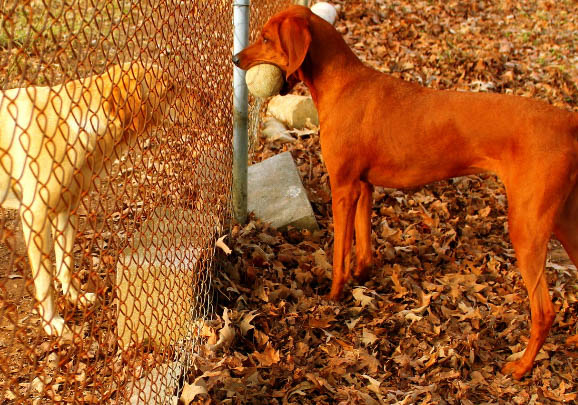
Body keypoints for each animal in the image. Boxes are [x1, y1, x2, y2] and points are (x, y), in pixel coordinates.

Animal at [0, 62, 176, 340]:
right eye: (170, 88)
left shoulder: (66, 210)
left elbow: (65, 263)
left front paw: (75, 297)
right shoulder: (36, 218)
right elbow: (45, 279)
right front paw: (52, 321)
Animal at [233, 5, 576, 378]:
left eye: (266, 38)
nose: (236, 58)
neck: (343, 84)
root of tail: (569, 122)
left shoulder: (342, 187)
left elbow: (340, 253)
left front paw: (334, 296)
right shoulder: (363, 185)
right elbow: (364, 244)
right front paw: (362, 276)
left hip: (526, 228)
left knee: (545, 311)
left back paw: (522, 367)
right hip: (564, 224)